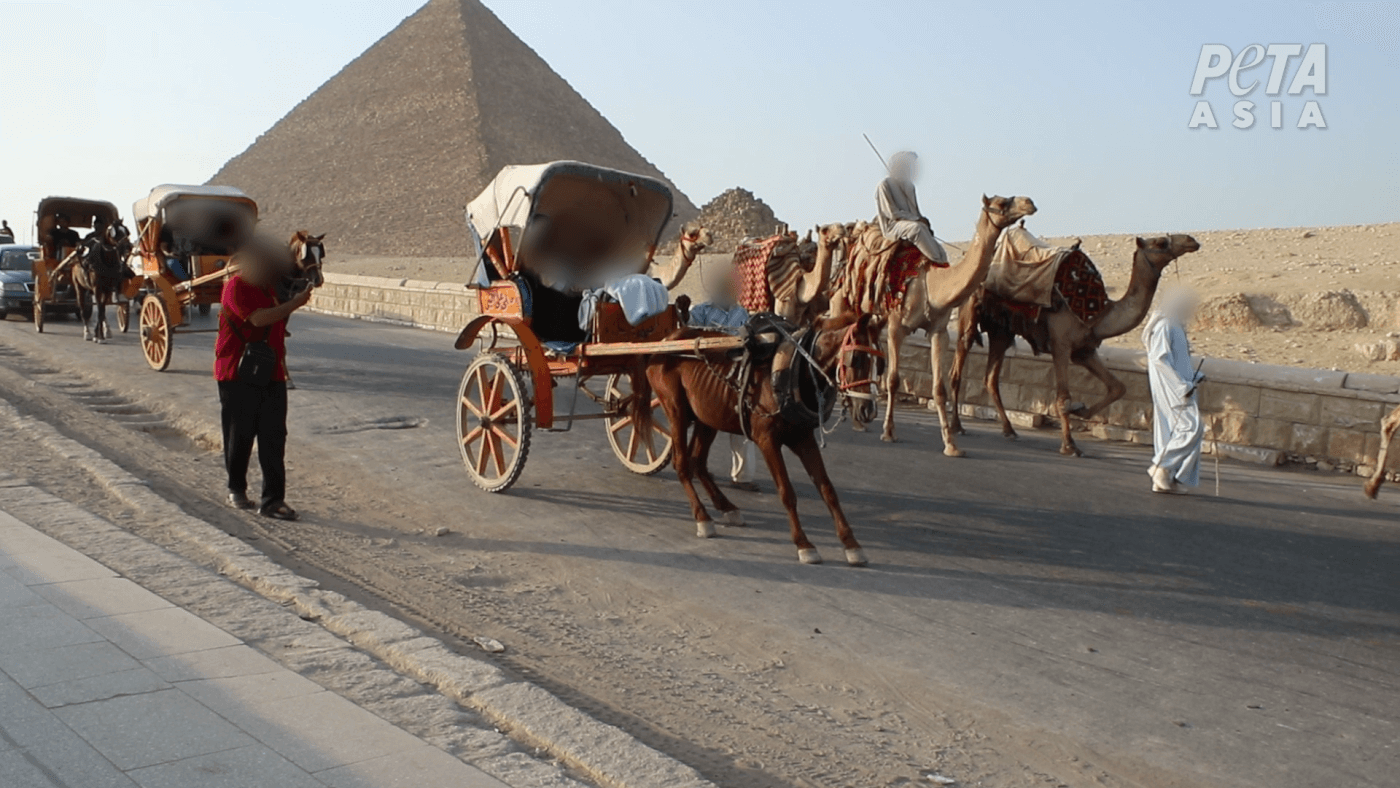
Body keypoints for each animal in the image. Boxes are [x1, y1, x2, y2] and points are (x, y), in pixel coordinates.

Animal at [642, 311, 884, 566]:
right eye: (857, 359)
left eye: (881, 364)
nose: (868, 410)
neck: (796, 368)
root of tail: (665, 342)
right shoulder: (767, 440)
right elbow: (786, 492)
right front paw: (803, 544)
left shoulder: (803, 438)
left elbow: (828, 490)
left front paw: (851, 543)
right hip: (675, 410)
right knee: (681, 463)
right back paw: (702, 517)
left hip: (707, 416)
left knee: (696, 461)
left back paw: (726, 507)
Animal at [839, 195, 1038, 454]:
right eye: (1001, 203)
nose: (1029, 202)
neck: (932, 285)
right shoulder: (897, 326)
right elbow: (894, 379)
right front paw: (889, 432)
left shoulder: (938, 331)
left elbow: (939, 388)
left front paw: (951, 444)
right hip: (850, 301)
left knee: (868, 339)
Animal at [949, 234, 1202, 457]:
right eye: (1159, 242)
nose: (1191, 240)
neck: (1099, 314)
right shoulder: (1060, 344)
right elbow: (1063, 398)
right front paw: (1070, 445)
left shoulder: (1084, 351)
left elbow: (1118, 387)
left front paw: (1083, 410)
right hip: (969, 312)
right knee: (958, 367)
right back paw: (957, 426)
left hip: (1002, 329)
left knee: (990, 378)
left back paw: (1009, 430)